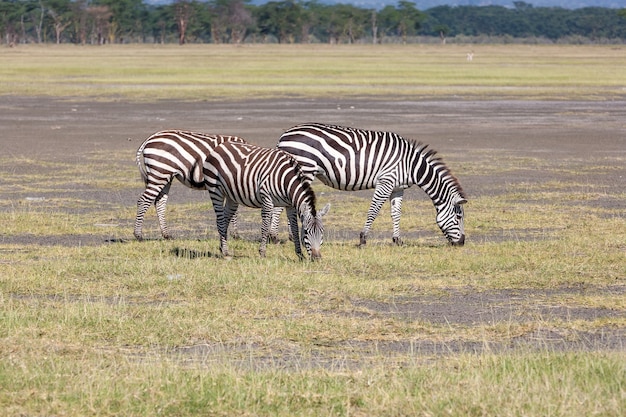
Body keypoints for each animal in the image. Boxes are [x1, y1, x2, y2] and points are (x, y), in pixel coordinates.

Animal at [202, 140, 330, 258]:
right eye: (306, 232)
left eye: (322, 232)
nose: (316, 258)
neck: (286, 181)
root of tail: (219, 146)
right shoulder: (267, 200)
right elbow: (265, 226)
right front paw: (262, 252)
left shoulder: (290, 205)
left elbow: (294, 227)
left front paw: (299, 254)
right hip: (215, 190)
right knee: (220, 220)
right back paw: (224, 252)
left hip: (231, 196)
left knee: (225, 218)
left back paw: (222, 248)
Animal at [272, 122, 464, 245]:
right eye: (459, 217)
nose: (462, 242)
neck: (411, 165)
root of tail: (284, 135)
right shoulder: (386, 181)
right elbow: (374, 210)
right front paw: (363, 238)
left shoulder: (398, 188)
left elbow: (396, 213)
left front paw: (397, 240)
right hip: (304, 168)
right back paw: (275, 237)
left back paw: (288, 236)